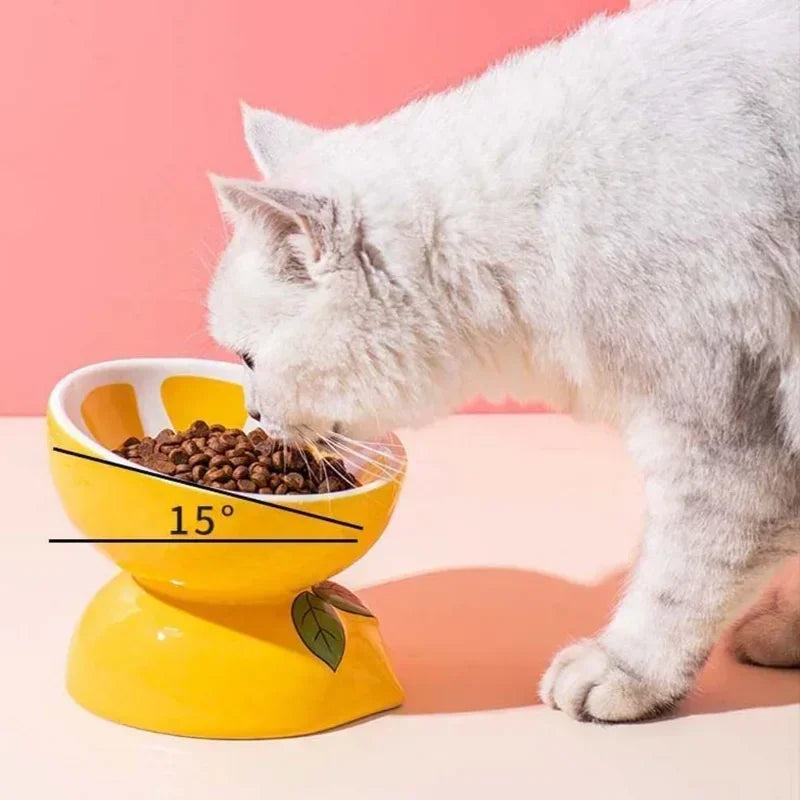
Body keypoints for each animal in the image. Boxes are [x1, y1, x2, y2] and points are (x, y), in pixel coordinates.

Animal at [209, 0, 800, 724]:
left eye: (246, 357)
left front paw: (626, 671)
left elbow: (679, 579)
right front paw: (790, 632)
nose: (252, 414)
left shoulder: (723, 432)